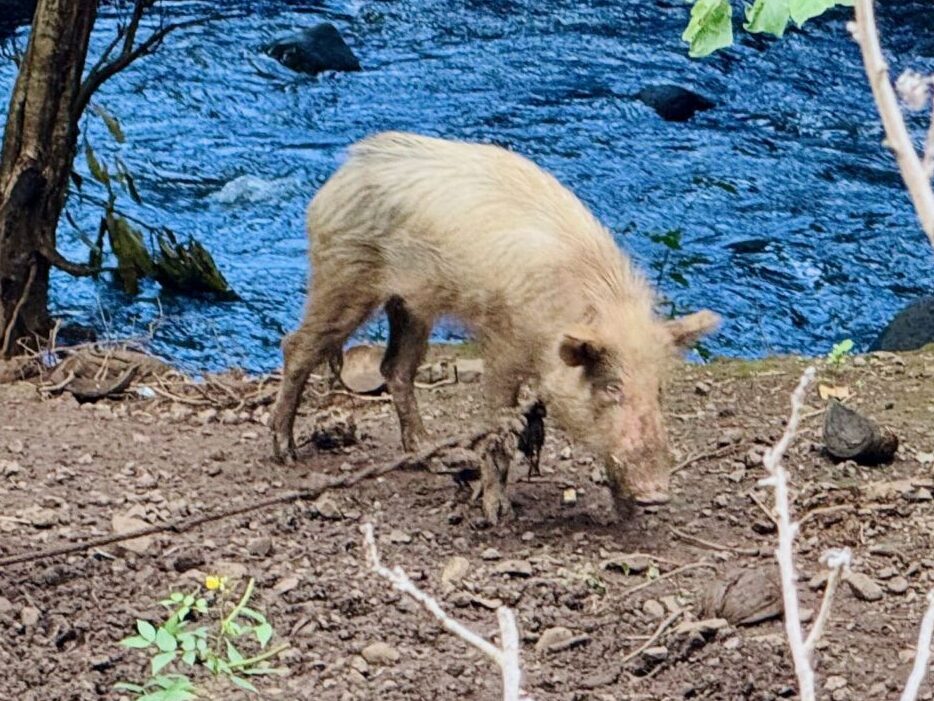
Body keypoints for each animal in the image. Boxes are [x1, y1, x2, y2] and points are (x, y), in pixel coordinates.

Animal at [271, 131, 720, 521]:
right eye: (611, 387)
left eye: (658, 390)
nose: (656, 493)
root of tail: (347, 169)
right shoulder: (503, 340)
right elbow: (498, 426)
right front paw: (497, 513)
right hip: (344, 276)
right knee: (296, 345)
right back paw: (285, 453)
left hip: (411, 304)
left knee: (395, 368)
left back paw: (431, 455)